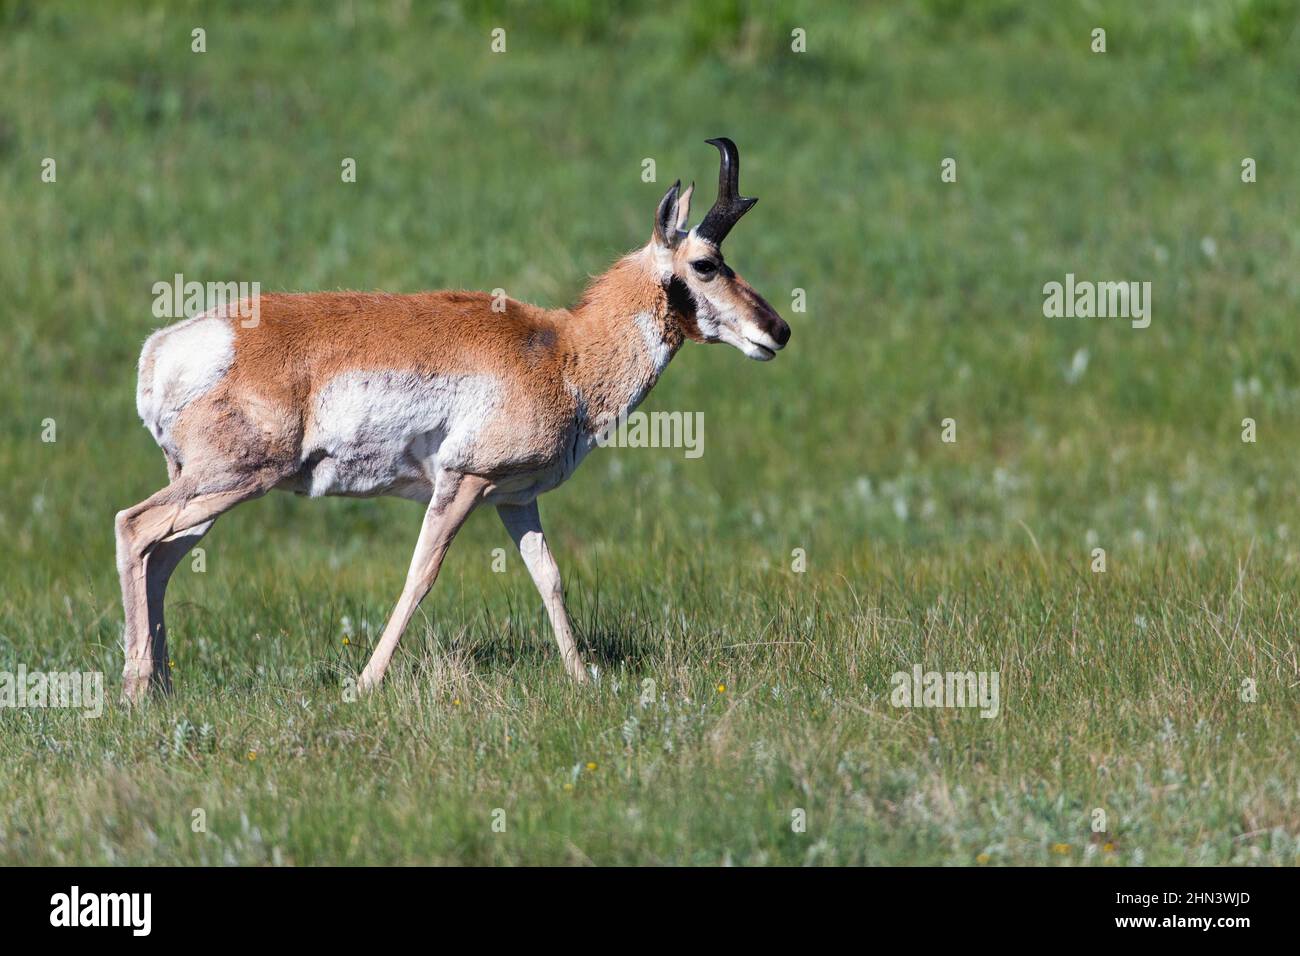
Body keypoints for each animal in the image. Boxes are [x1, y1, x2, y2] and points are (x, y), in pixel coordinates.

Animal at [119, 136, 790, 702]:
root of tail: (164, 349)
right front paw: (365, 684)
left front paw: (583, 679)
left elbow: (549, 576)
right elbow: (420, 577)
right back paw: (136, 690)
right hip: (231, 479)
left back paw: (161, 687)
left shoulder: (516, 498)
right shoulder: (464, 482)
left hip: (210, 489)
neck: (564, 351)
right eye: (706, 264)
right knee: (134, 528)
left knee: (161, 557)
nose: (778, 330)